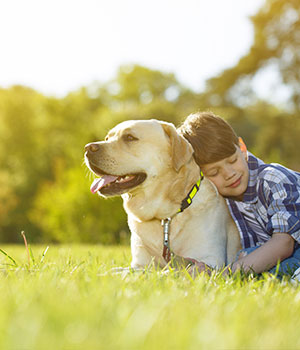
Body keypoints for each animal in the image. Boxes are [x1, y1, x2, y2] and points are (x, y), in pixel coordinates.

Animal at [85, 119, 240, 270]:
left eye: (129, 137)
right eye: (107, 138)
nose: (88, 148)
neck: (164, 217)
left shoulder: (209, 260)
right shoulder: (139, 263)